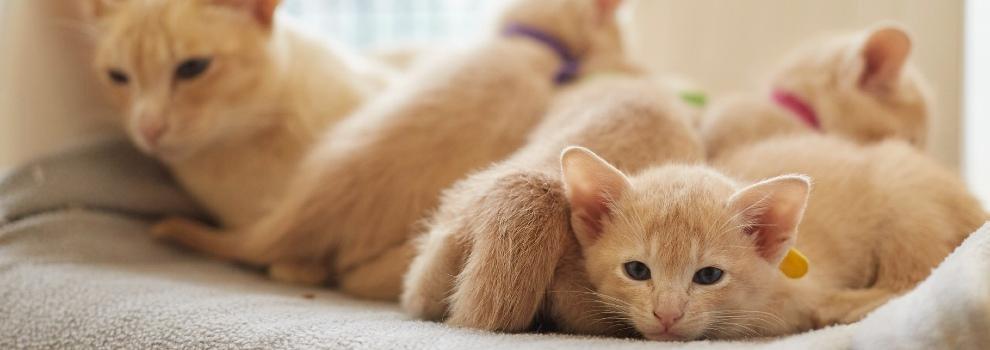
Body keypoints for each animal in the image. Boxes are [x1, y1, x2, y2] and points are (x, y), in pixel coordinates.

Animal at [560, 135, 984, 342]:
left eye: (708, 276)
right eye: (636, 270)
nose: (667, 315)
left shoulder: (801, 294)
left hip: (904, 191)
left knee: (917, 274)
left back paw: (849, 305)